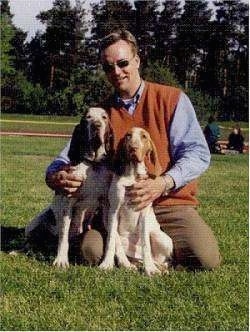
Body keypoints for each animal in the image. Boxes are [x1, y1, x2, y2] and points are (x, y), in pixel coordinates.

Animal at [98, 126, 173, 274]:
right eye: (128, 136)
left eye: (144, 136)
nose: (133, 148)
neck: (132, 175)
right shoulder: (113, 212)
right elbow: (111, 242)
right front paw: (107, 263)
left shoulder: (143, 214)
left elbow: (145, 244)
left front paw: (150, 269)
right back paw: (130, 264)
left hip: (163, 239)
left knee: (160, 261)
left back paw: (157, 267)